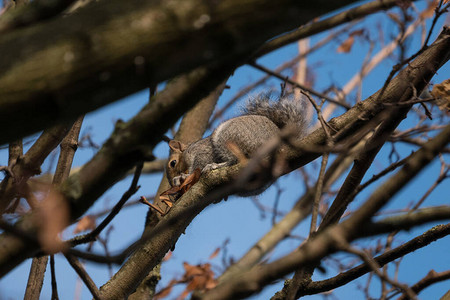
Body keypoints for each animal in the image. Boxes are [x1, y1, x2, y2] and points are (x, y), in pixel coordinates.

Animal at [167, 94, 308, 191]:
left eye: (173, 163)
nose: (172, 185)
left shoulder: (202, 152)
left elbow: (199, 163)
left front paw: (183, 177)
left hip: (228, 138)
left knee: (234, 160)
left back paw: (214, 166)